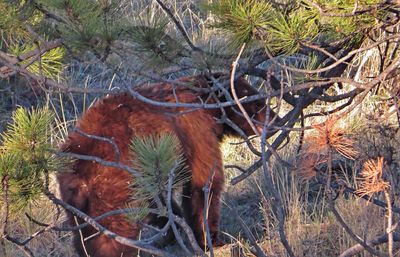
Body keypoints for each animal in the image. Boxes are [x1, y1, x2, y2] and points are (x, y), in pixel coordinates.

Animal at [57, 73, 270, 255]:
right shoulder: (195, 129)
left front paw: (173, 232)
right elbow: (204, 183)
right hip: (111, 190)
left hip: (77, 203)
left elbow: (161, 203)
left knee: (83, 234)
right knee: (111, 233)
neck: (206, 103)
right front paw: (210, 240)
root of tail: (79, 172)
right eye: (258, 102)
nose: (274, 119)